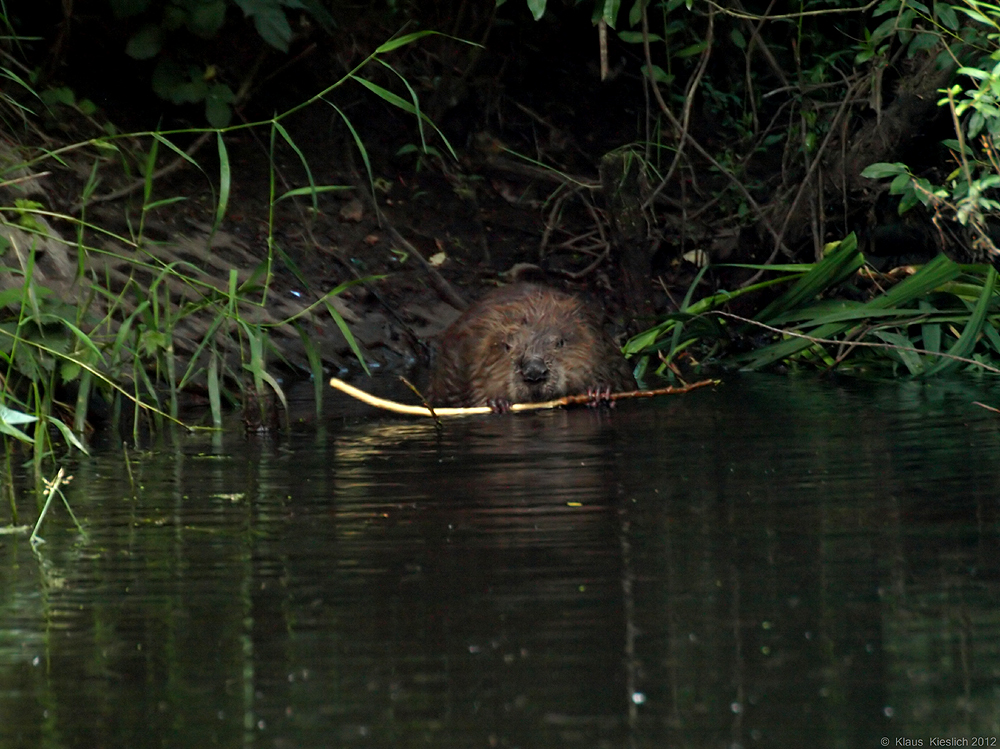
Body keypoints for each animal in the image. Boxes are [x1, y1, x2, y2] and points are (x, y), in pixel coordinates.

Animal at [428, 282, 632, 410]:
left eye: (560, 342)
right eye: (507, 346)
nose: (534, 372)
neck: (536, 311)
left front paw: (600, 393)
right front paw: (497, 403)